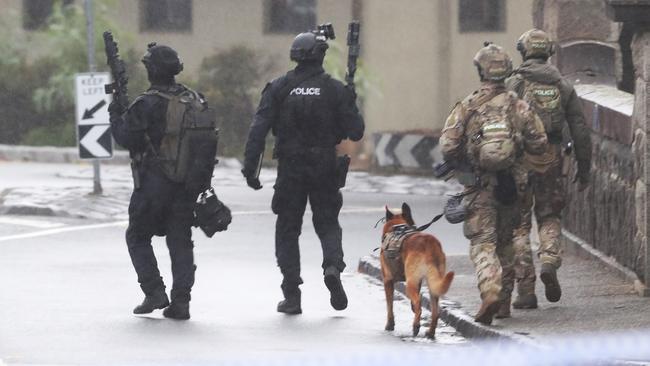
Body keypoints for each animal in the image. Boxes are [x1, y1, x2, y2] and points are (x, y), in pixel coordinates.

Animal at [378, 203, 454, 338]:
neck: (397, 227)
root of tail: (430, 242)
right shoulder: (418, 282)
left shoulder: (387, 281)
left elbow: (389, 306)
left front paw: (390, 325)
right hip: (432, 284)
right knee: (435, 311)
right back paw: (430, 332)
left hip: (410, 284)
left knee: (419, 304)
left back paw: (416, 326)